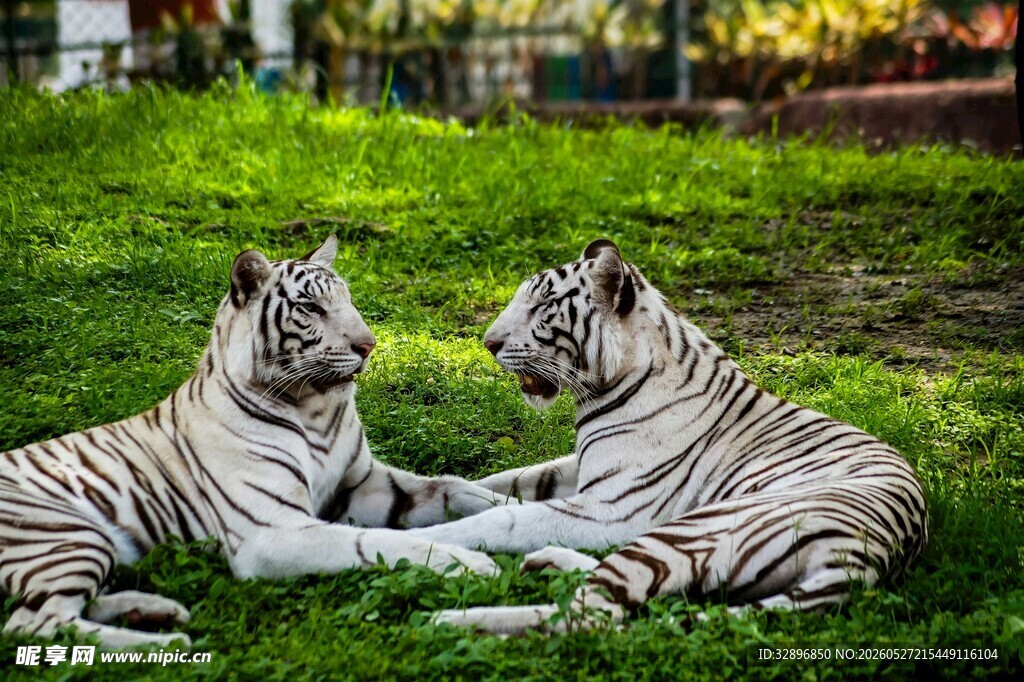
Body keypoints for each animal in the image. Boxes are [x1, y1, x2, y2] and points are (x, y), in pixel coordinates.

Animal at [0, 236, 505, 648]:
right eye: (312, 308)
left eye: (348, 299)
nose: (369, 346)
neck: (314, 408)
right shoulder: (272, 529)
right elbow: (377, 542)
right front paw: (473, 563)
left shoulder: (364, 485)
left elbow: (455, 487)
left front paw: (512, 509)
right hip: (67, 534)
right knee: (34, 623)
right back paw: (168, 643)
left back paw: (156, 610)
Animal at [409, 239, 928, 634]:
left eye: (542, 306)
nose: (488, 343)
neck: (611, 381)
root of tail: (869, 557)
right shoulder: (583, 468)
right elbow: (510, 482)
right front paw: (444, 491)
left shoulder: (612, 508)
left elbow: (504, 519)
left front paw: (428, 537)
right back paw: (546, 562)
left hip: (690, 529)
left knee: (594, 616)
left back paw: (451, 620)